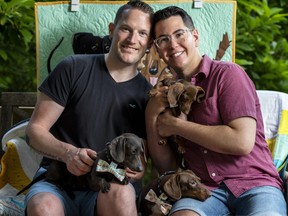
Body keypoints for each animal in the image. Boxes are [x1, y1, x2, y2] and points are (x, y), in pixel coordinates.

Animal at [16, 133, 145, 199]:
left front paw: (124, 178)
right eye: (133, 151)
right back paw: (63, 187)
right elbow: (100, 178)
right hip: (58, 168)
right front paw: (105, 184)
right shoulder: (93, 180)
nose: (140, 169)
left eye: (141, 152)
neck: (112, 164)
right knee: (51, 179)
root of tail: (48, 171)